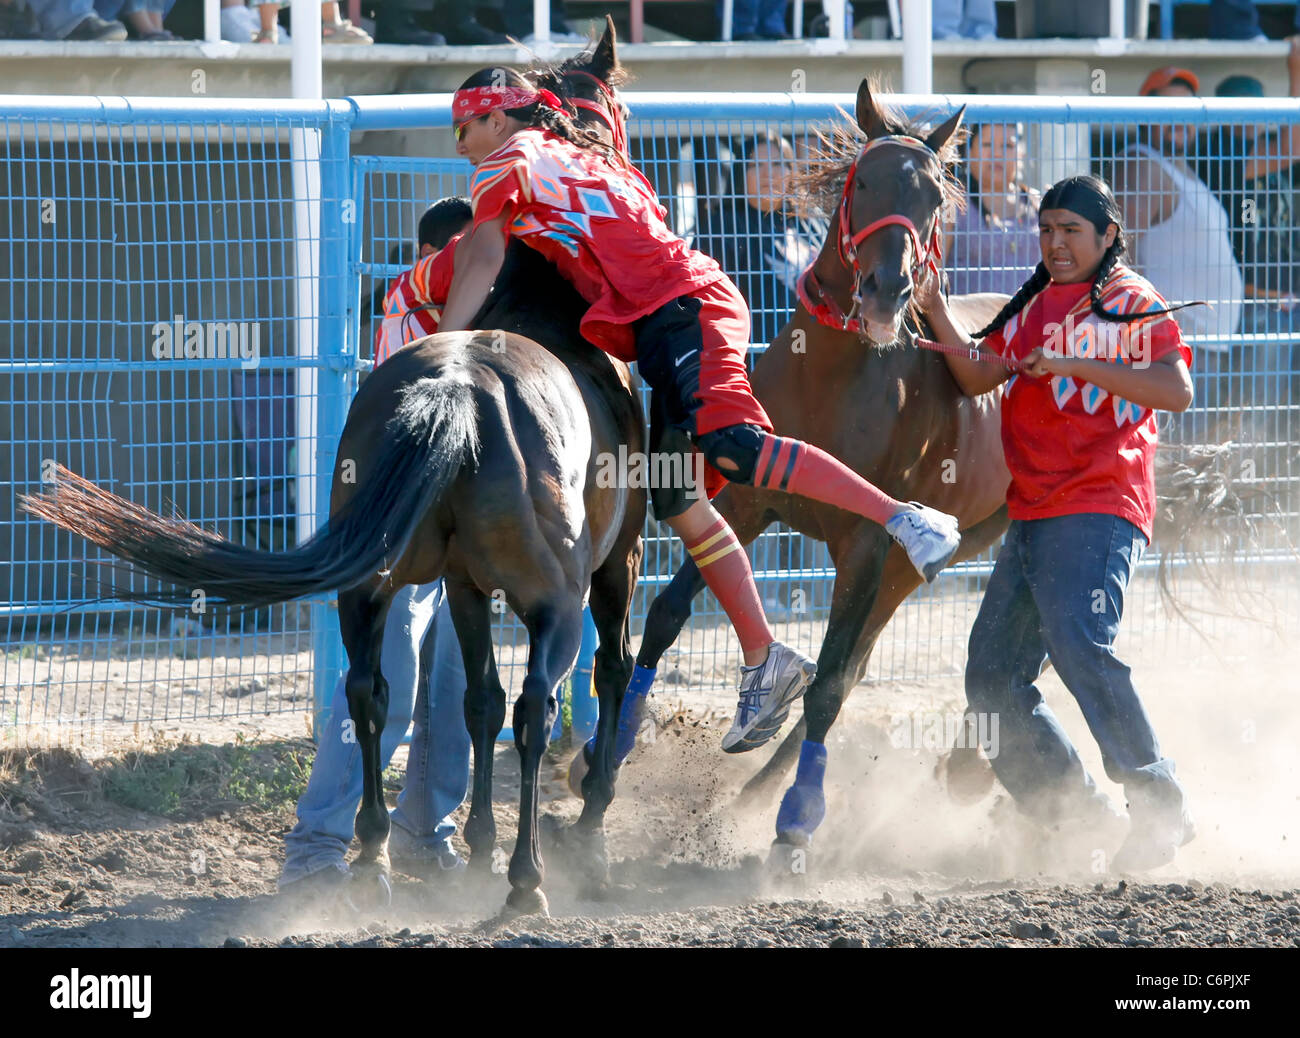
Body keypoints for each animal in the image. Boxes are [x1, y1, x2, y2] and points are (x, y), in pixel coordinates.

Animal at [22, 30, 644, 918]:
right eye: (610, 110)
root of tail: (458, 391)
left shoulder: (462, 584)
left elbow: (472, 699)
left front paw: (473, 843)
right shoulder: (618, 560)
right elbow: (601, 674)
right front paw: (580, 834)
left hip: (372, 585)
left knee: (371, 694)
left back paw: (374, 853)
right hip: (553, 595)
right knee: (534, 706)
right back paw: (525, 879)